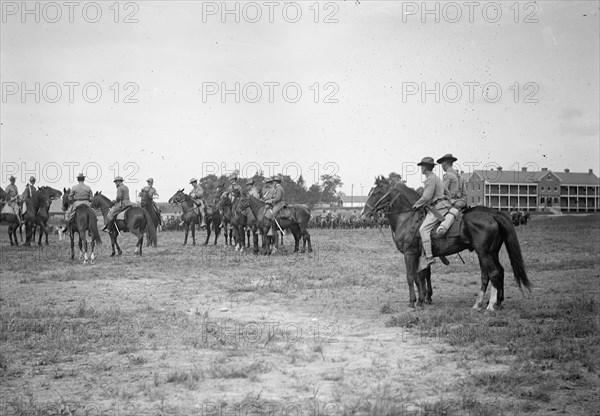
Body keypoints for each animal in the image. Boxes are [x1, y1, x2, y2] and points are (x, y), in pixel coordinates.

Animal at [360, 177, 528, 310]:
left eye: (375, 192)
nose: (364, 214)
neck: (407, 218)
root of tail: (493, 214)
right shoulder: (421, 255)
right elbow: (422, 275)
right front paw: (424, 299)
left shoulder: (410, 254)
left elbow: (411, 276)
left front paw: (414, 301)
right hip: (491, 253)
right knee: (494, 273)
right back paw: (492, 302)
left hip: (484, 253)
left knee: (494, 273)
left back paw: (491, 305)